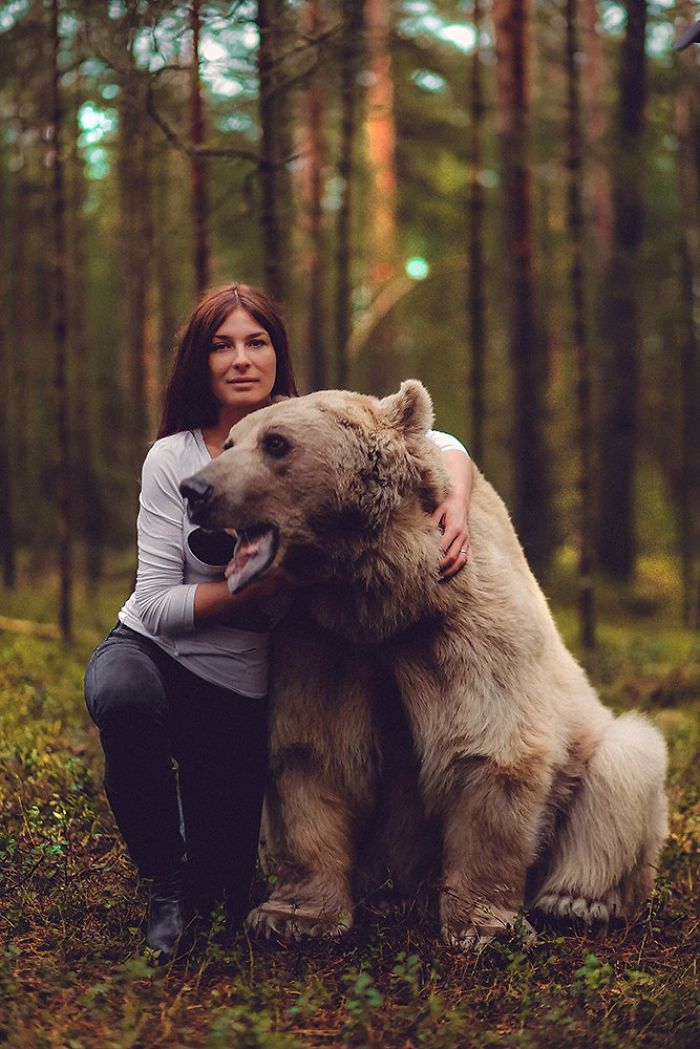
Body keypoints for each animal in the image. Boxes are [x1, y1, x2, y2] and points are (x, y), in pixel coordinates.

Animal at [180, 379, 667, 952]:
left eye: (276, 442)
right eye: (231, 442)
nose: (195, 489)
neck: (382, 594)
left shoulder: (462, 623)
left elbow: (492, 748)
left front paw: (483, 926)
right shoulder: (321, 639)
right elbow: (313, 750)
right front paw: (292, 915)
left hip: (598, 756)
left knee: (626, 764)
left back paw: (575, 901)